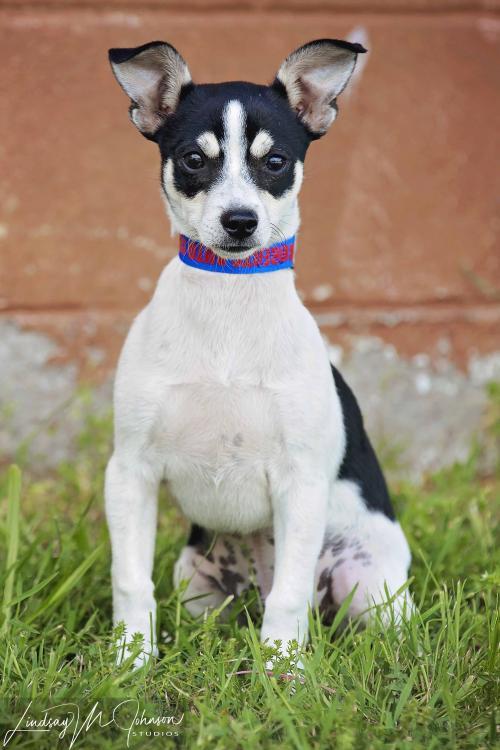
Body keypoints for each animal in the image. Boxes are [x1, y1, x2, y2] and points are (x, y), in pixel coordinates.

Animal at [104, 39, 410, 668]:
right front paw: (129, 660)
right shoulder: (128, 473)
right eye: (193, 160)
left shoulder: (301, 484)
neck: (228, 299)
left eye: (276, 163)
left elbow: (290, 599)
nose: (239, 221)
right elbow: (130, 580)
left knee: (316, 602)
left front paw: (282, 671)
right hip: (196, 579)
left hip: (370, 587)